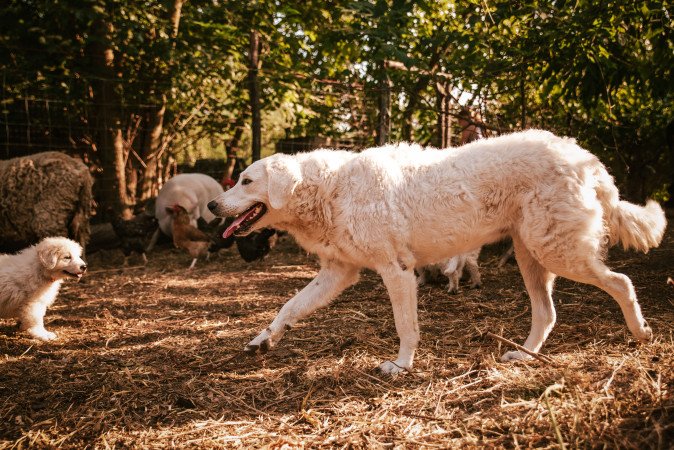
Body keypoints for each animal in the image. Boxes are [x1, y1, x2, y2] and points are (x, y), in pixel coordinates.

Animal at [207, 131, 664, 376]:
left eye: (246, 181)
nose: (212, 206)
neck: (330, 190)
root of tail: (583, 155)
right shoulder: (339, 273)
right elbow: (289, 307)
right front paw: (262, 340)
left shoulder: (397, 271)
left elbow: (405, 326)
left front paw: (401, 366)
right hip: (531, 256)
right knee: (547, 313)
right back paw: (523, 355)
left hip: (557, 252)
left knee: (622, 282)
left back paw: (641, 332)